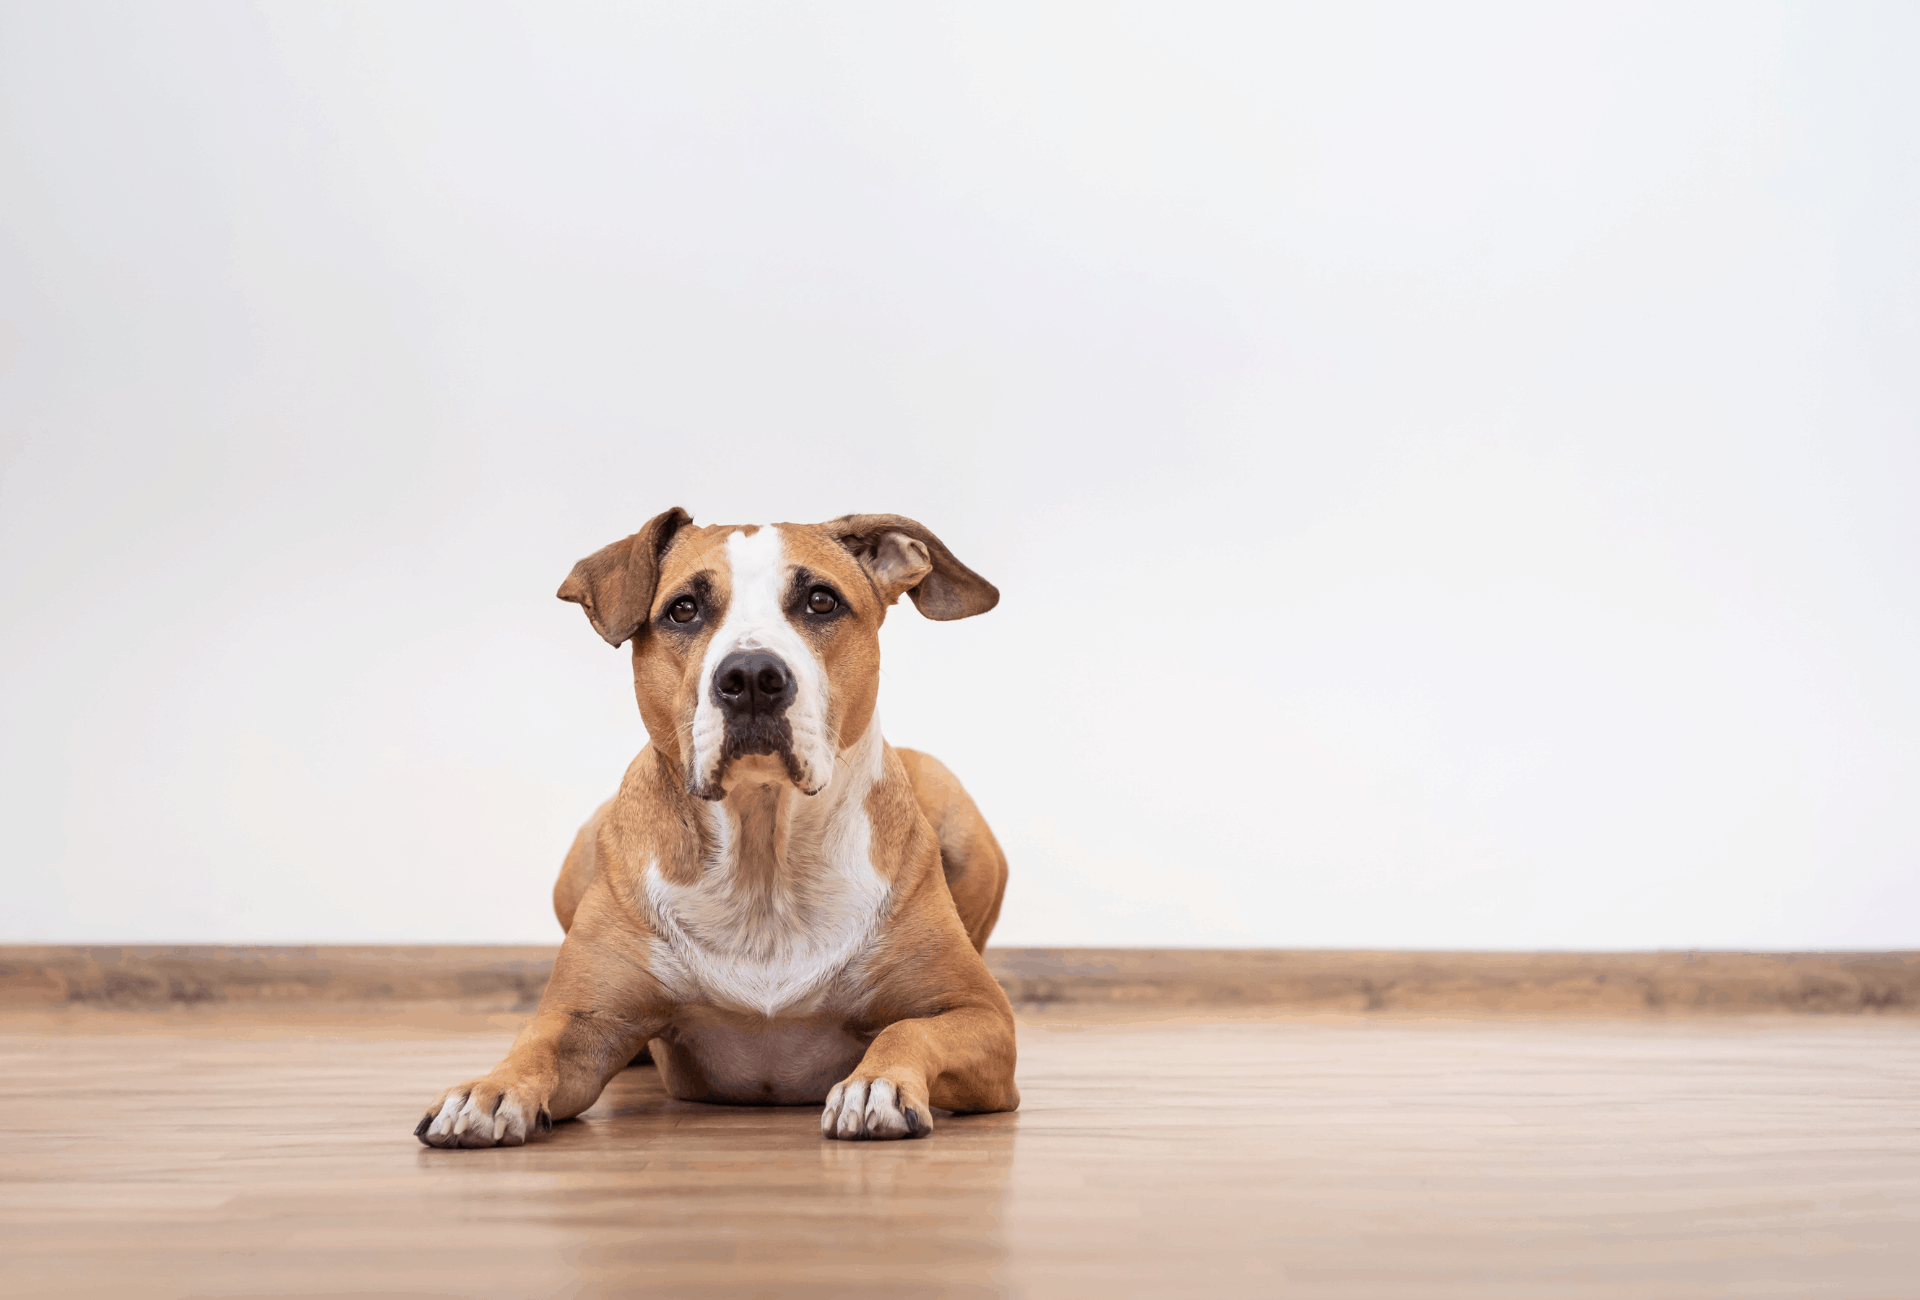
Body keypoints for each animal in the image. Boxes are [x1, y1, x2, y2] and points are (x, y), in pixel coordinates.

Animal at [416, 510, 1021, 1144]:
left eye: (821, 601)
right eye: (683, 609)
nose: (752, 675)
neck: (763, 853)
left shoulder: (979, 1015)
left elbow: (909, 1028)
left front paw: (875, 1083)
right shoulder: (585, 1018)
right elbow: (536, 1044)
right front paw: (487, 1090)